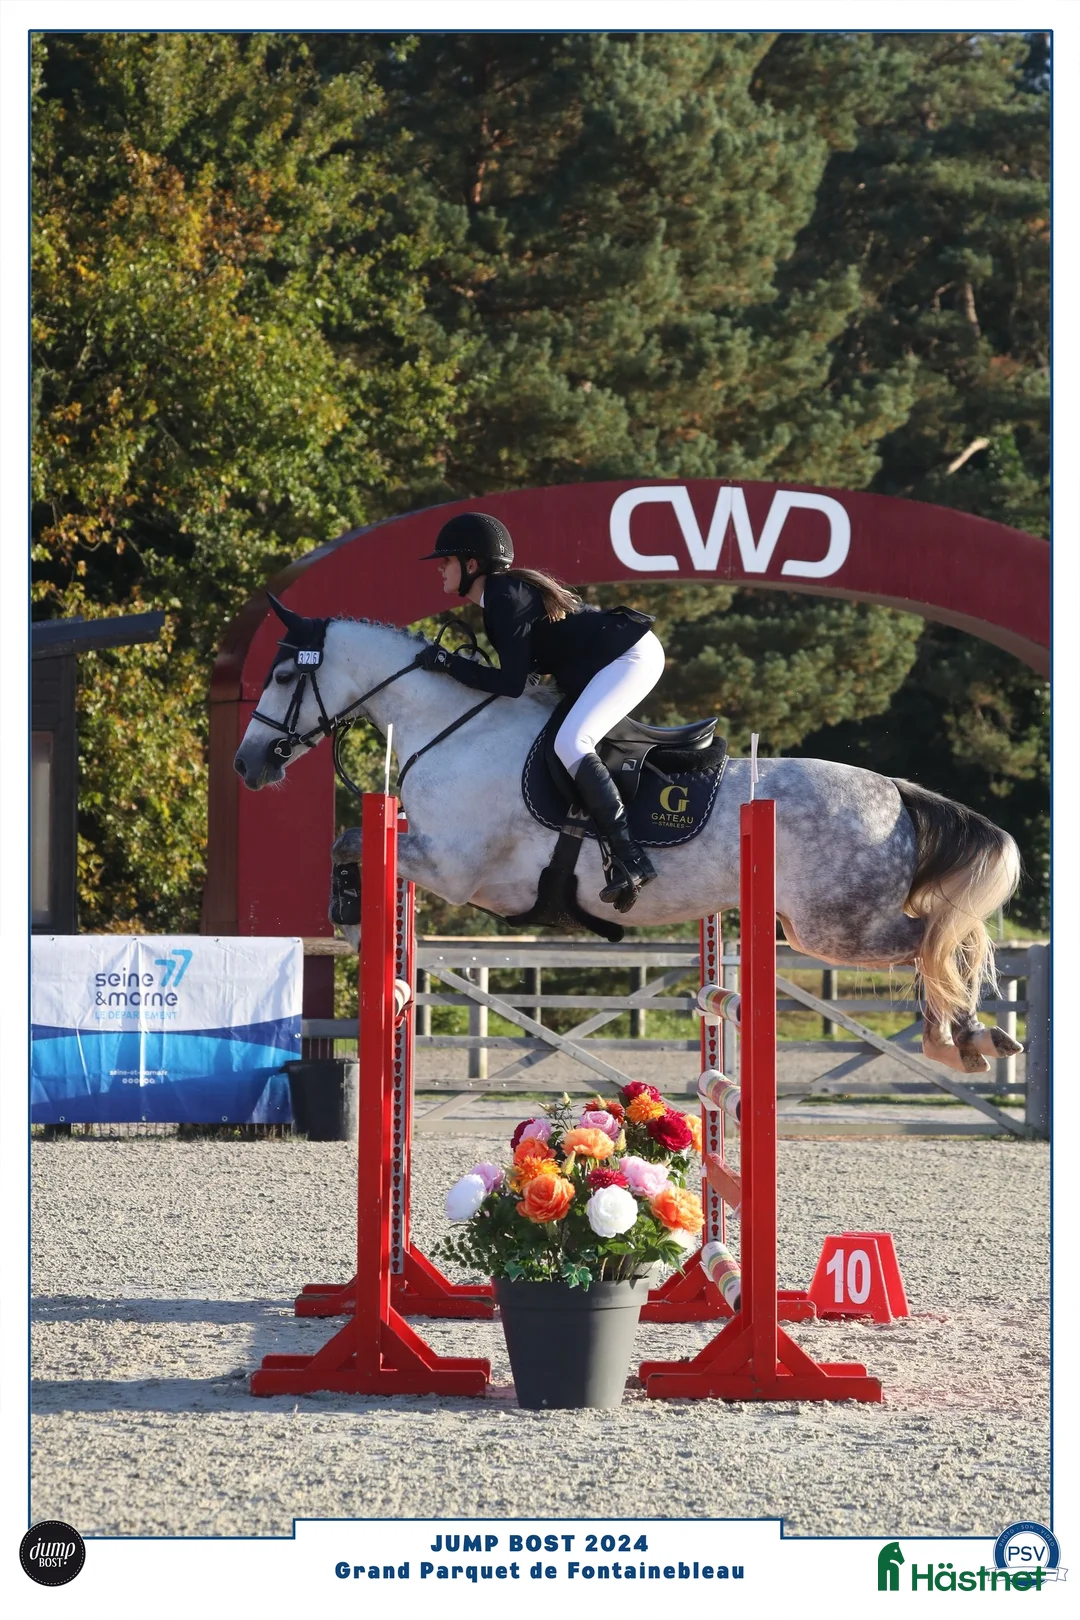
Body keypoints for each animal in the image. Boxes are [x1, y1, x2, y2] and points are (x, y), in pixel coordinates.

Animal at [233, 604, 1024, 1077]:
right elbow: (347, 843)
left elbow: (344, 842)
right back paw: (969, 1038)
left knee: (938, 941)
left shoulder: (455, 869)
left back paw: (964, 1038)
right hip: (824, 925)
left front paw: (348, 918)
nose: (247, 765)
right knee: (941, 939)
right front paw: (359, 928)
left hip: (838, 926)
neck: (453, 727)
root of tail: (896, 790)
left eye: (284, 674)